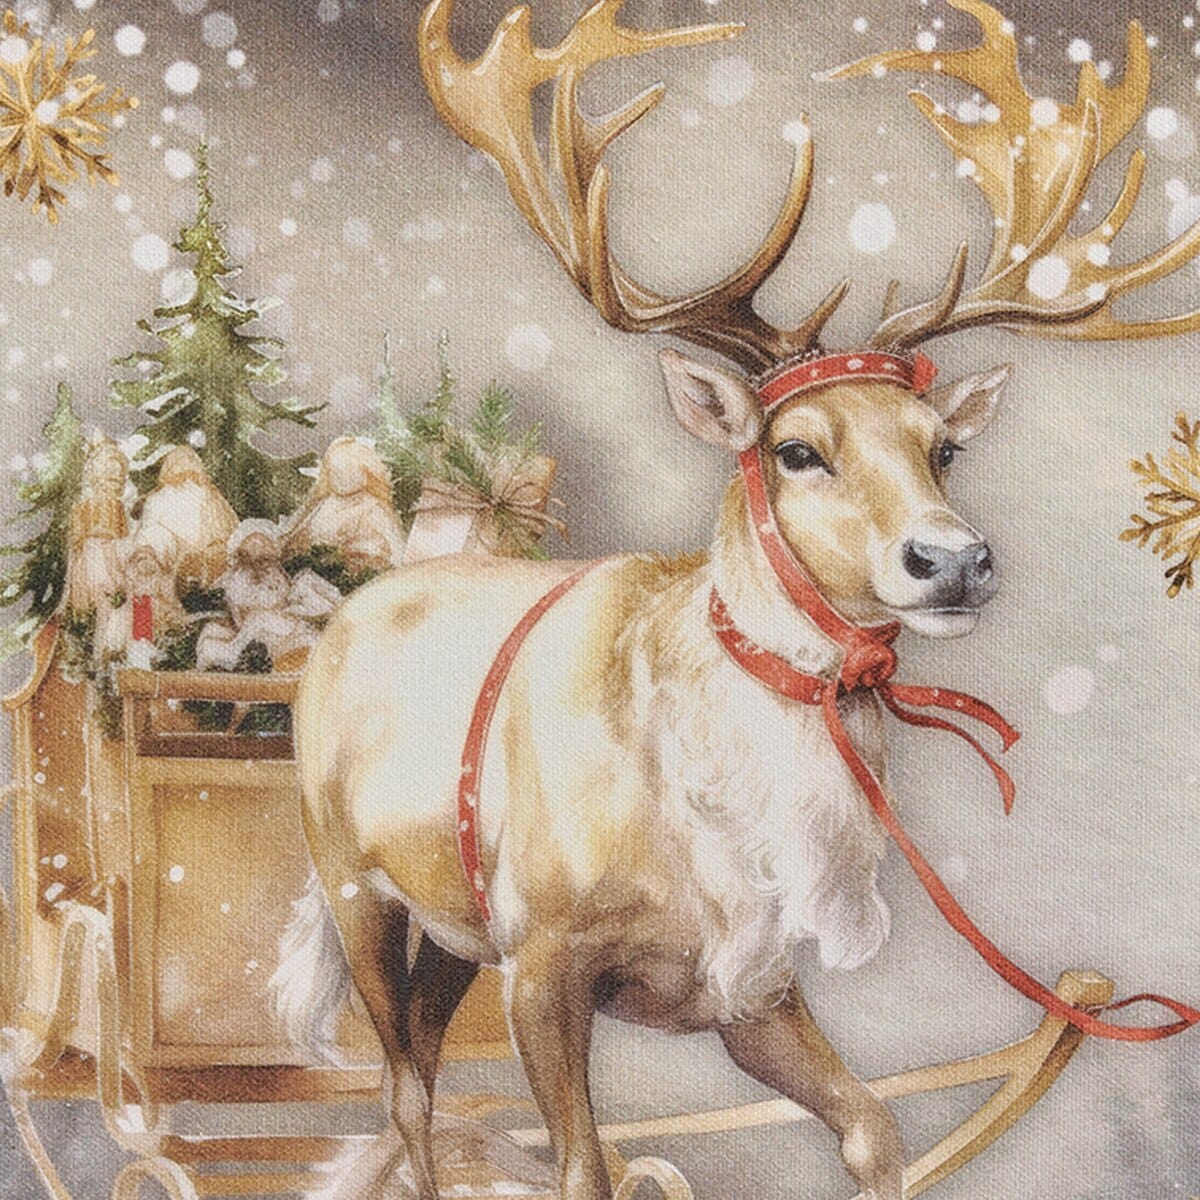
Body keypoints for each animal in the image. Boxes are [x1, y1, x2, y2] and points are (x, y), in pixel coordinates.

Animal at [279, 3, 1200, 1198]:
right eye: (797, 448)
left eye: (943, 447)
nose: (953, 561)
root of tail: (350, 610)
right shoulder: (544, 952)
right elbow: (584, 1171)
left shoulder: (751, 987)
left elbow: (875, 1127)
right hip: (354, 882)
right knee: (400, 1089)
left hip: (451, 930)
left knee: (423, 1075)